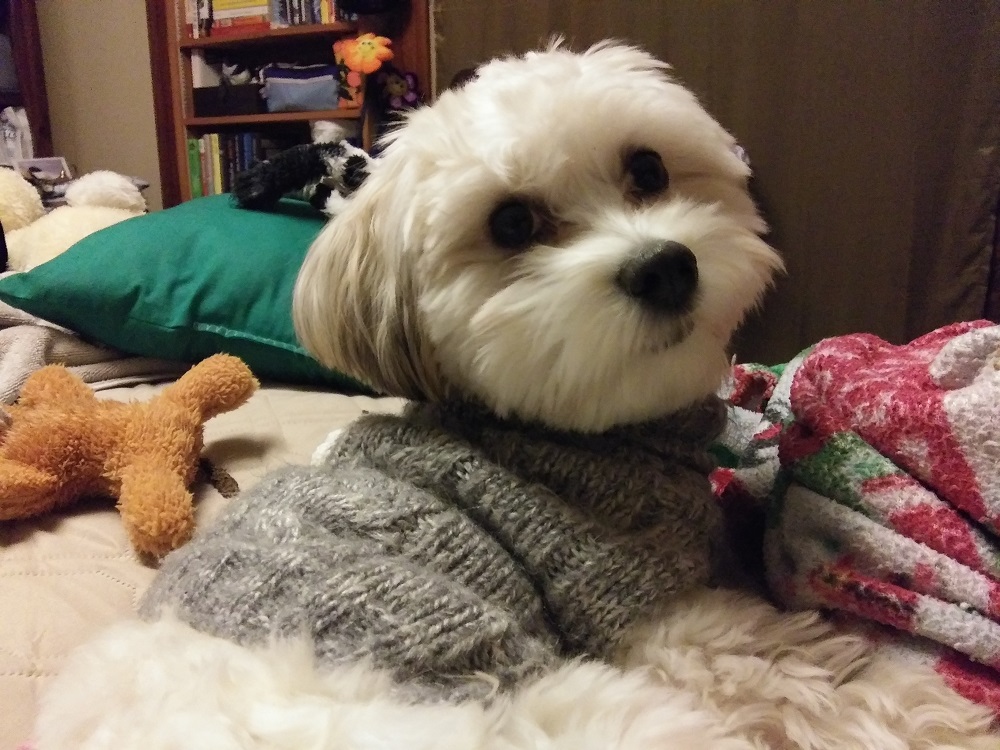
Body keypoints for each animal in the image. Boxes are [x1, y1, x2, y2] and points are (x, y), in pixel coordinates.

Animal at [35, 42, 996, 750]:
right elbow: (822, 676)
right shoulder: (653, 614)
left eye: (649, 169)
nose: (665, 266)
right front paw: (944, 715)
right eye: (511, 224)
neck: (577, 429)